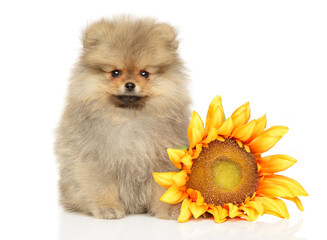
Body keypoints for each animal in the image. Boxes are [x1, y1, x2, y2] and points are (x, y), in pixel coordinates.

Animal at [54, 15, 191, 219]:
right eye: (115, 73)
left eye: (144, 73)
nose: (130, 84)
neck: (129, 116)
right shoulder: (95, 158)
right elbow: (101, 187)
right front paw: (107, 207)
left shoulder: (163, 159)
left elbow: (163, 189)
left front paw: (169, 210)